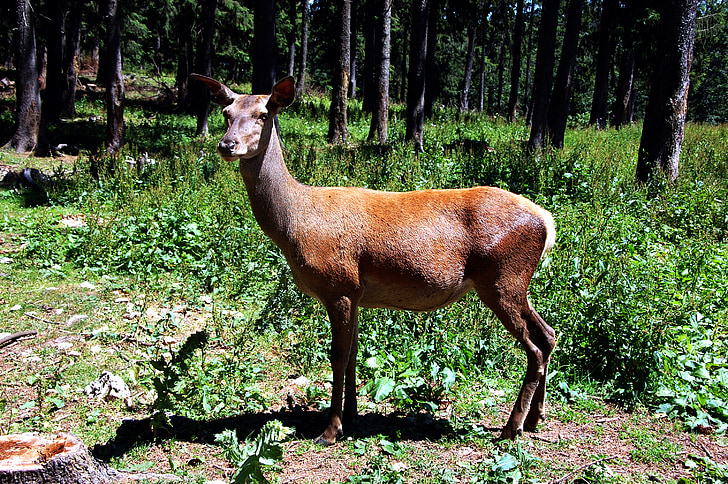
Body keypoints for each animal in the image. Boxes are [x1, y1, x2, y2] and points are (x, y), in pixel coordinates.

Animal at [191, 73, 556, 446]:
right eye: (226, 113)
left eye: (264, 115)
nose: (227, 144)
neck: (295, 223)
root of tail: (546, 221)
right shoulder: (356, 293)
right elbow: (353, 354)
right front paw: (351, 413)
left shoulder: (338, 284)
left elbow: (338, 357)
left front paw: (331, 429)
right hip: (515, 283)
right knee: (549, 334)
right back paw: (535, 418)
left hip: (502, 277)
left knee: (535, 347)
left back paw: (512, 426)